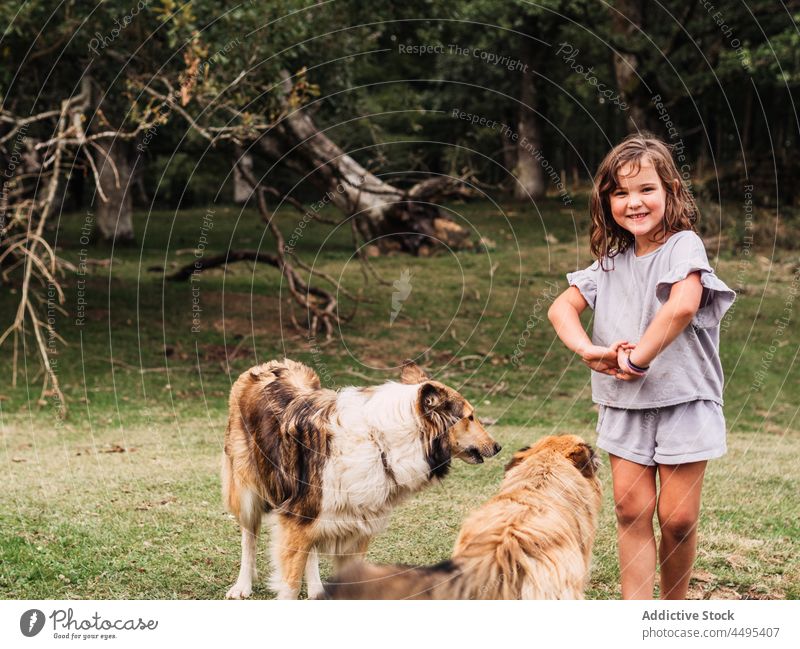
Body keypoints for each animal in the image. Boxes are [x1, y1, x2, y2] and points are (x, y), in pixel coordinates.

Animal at [222, 360, 500, 596]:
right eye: (469, 417)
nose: (498, 447)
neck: (381, 442)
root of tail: (267, 365)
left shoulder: (352, 528)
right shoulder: (298, 518)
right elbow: (288, 587)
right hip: (248, 493)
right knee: (249, 537)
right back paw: (242, 586)